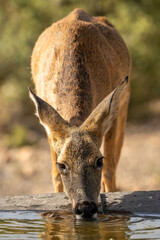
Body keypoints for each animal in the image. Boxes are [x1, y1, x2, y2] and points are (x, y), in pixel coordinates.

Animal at [29, 8, 131, 219]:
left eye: (99, 160)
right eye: (62, 165)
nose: (86, 207)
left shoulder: (113, 115)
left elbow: (110, 170)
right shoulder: (50, 129)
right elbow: (54, 176)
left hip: (124, 103)